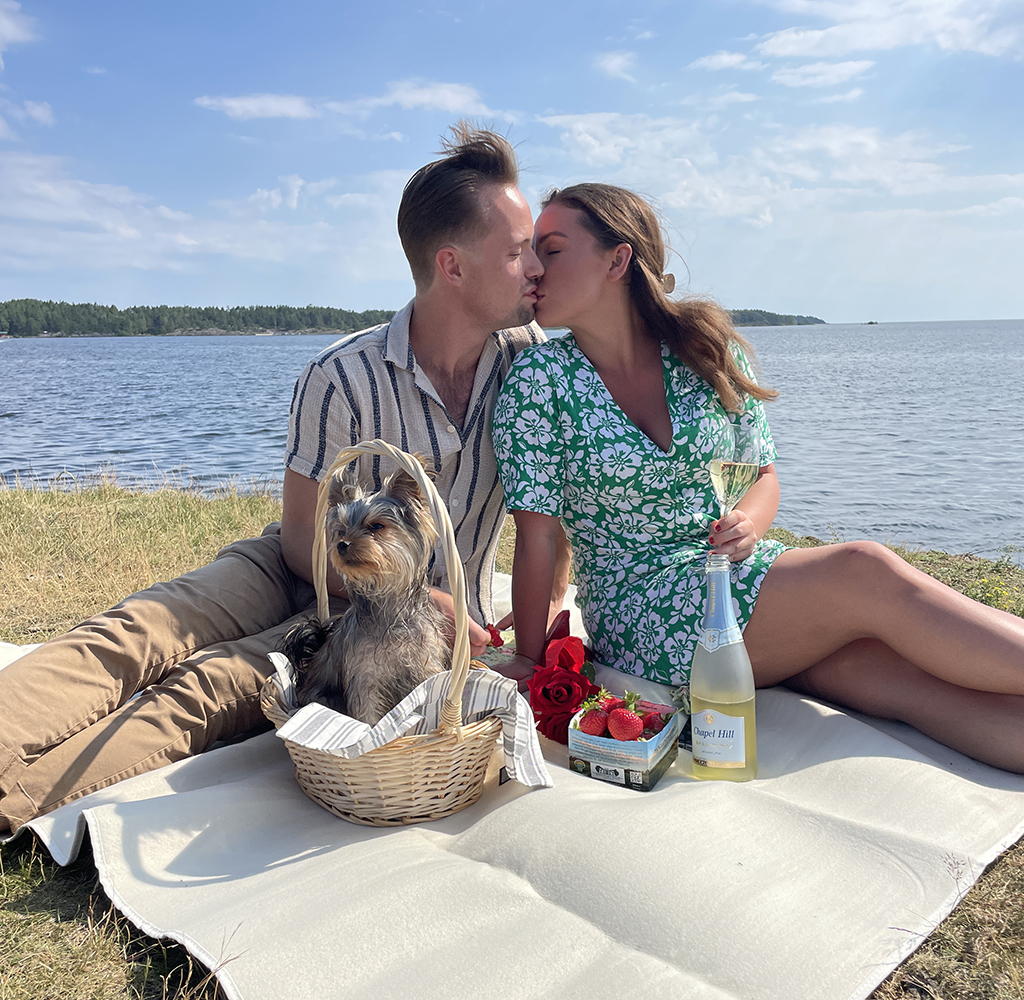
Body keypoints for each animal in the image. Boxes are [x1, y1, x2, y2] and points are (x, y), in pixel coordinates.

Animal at [282, 460, 454, 724]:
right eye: (341, 530)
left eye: (376, 526)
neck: (387, 604)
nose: (342, 544)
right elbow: (368, 716)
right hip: (323, 696)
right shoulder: (365, 678)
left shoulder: (424, 668)